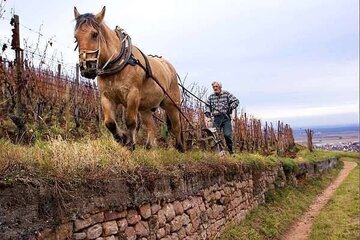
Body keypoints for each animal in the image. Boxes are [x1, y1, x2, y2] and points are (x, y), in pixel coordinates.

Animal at [74, 6, 184, 152]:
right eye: (76, 37)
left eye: (94, 34)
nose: (86, 68)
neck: (119, 62)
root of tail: (169, 66)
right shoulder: (106, 97)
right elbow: (109, 122)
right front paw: (122, 138)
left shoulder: (133, 94)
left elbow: (130, 121)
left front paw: (131, 143)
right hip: (145, 107)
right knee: (151, 126)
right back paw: (150, 147)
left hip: (171, 103)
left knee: (177, 126)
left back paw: (180, 147)